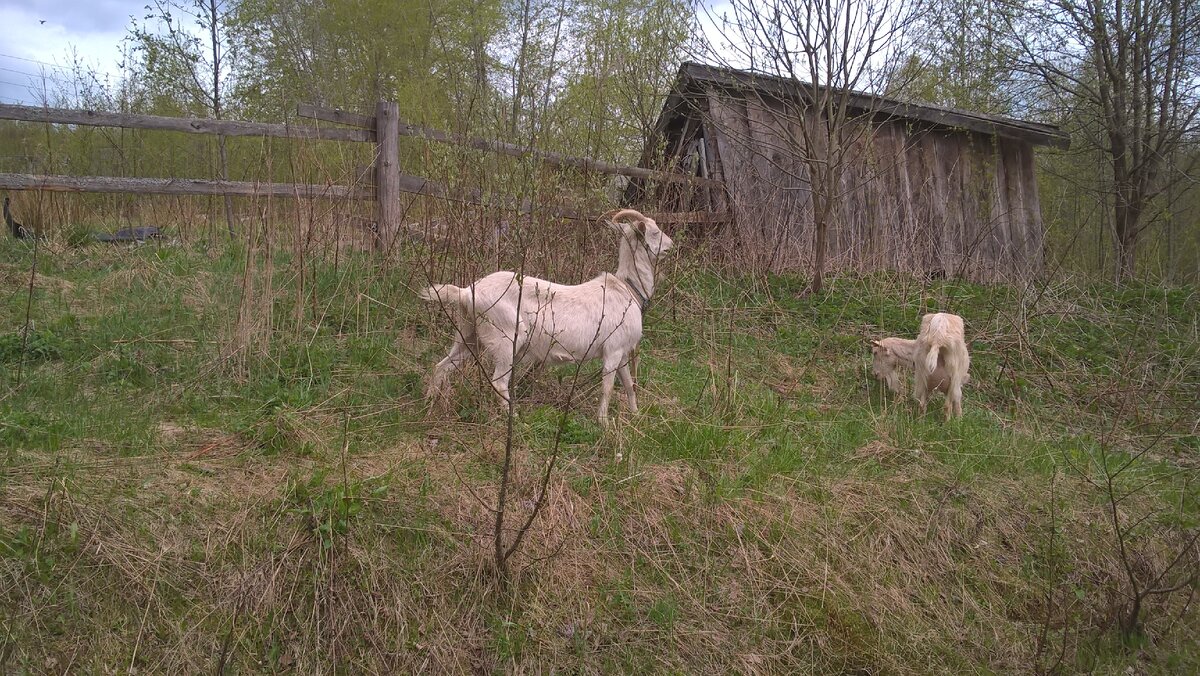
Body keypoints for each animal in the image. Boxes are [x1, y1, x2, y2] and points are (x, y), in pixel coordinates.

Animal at [417, 210, 672, 422]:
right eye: (654, 232)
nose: (671, 245)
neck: (628, 289)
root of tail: (466, 292)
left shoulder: (622, 353)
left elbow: (629, 384)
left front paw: (635, 415)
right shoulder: (613, 350)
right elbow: (607, 388)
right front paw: (604, 424)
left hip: (469, 336)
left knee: (441, 366)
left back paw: (429, 403)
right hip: (506, 339)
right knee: (498, 381)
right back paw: (514, 416)